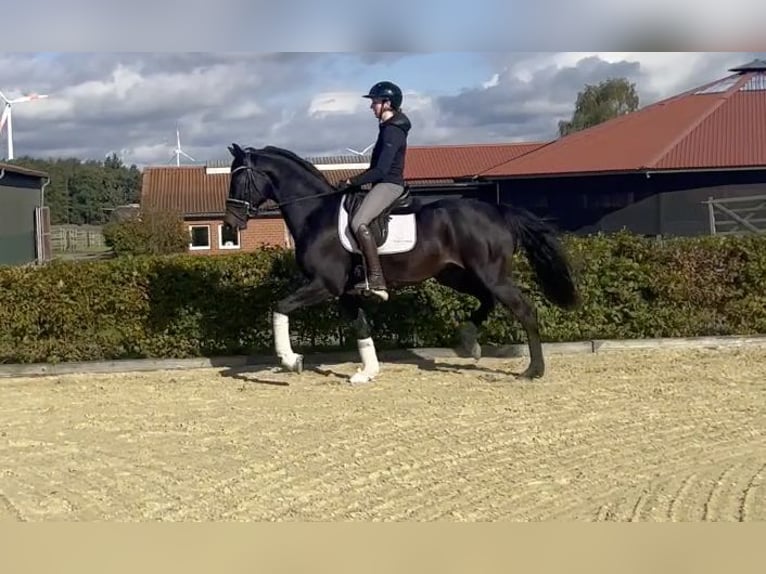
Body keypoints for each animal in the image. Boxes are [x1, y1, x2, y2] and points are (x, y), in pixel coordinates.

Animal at [225, 144, 580, 388]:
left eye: (239, 178)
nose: (231, 223)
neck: (316, 213)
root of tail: (499, 211)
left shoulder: (325, 284)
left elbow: (280, 306)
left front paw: (290, 361)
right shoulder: (345, 292)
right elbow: (361, 328)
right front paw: (367, 372)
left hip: (492, 274)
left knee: (524, 310)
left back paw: (533, 370)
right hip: (454, 274)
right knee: (486, 300)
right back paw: (469, 343)